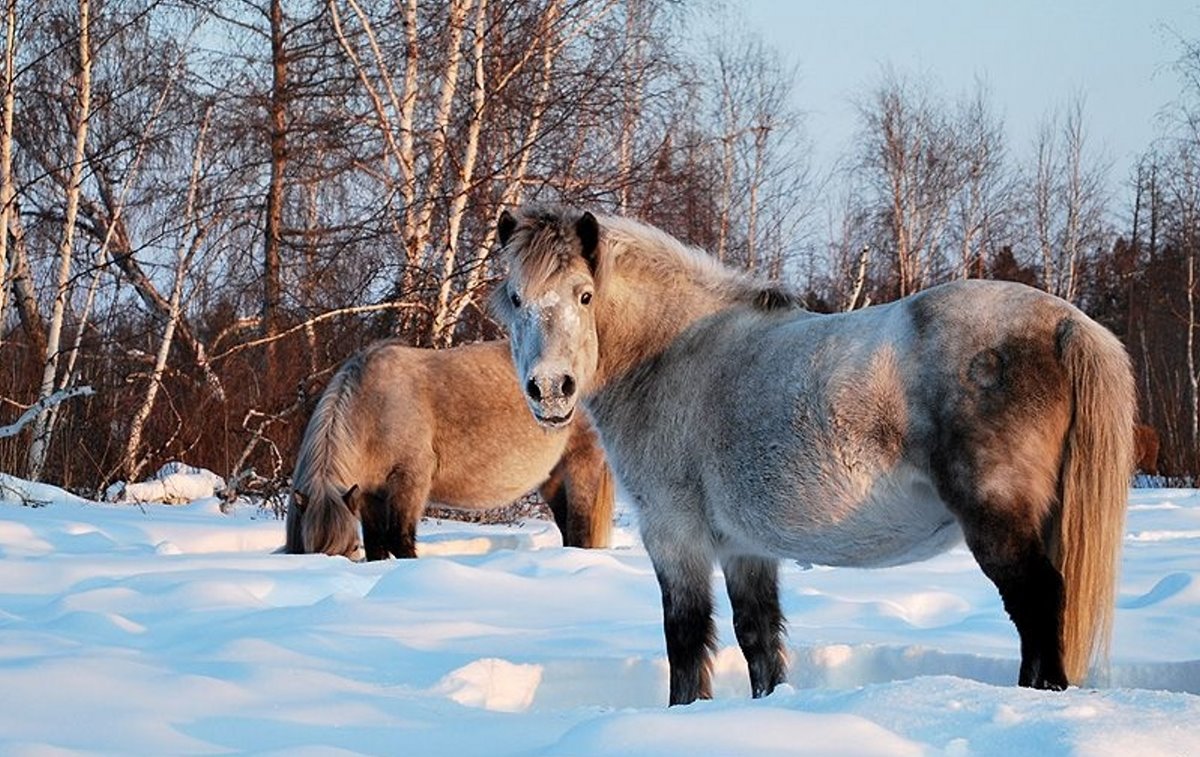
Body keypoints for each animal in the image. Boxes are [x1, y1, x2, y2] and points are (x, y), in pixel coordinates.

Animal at [285, 340, 614, 559]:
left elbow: (399, 539)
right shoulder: (367, 494)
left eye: (352, 548)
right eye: (311, 549)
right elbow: (378, 543)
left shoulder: (410, 481)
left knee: (580, 527)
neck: (374, 406)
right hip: (553, 477)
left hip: (582, 464)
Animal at [489, 203, 1132, 710]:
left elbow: (685, 640)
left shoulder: (675, 537)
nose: (550, 390)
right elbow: (758, 641)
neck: (674, 354)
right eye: (517, 299)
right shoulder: (744, 548)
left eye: (584, 295)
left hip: (999, 523)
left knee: (1038, 605)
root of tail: (1065, 322)